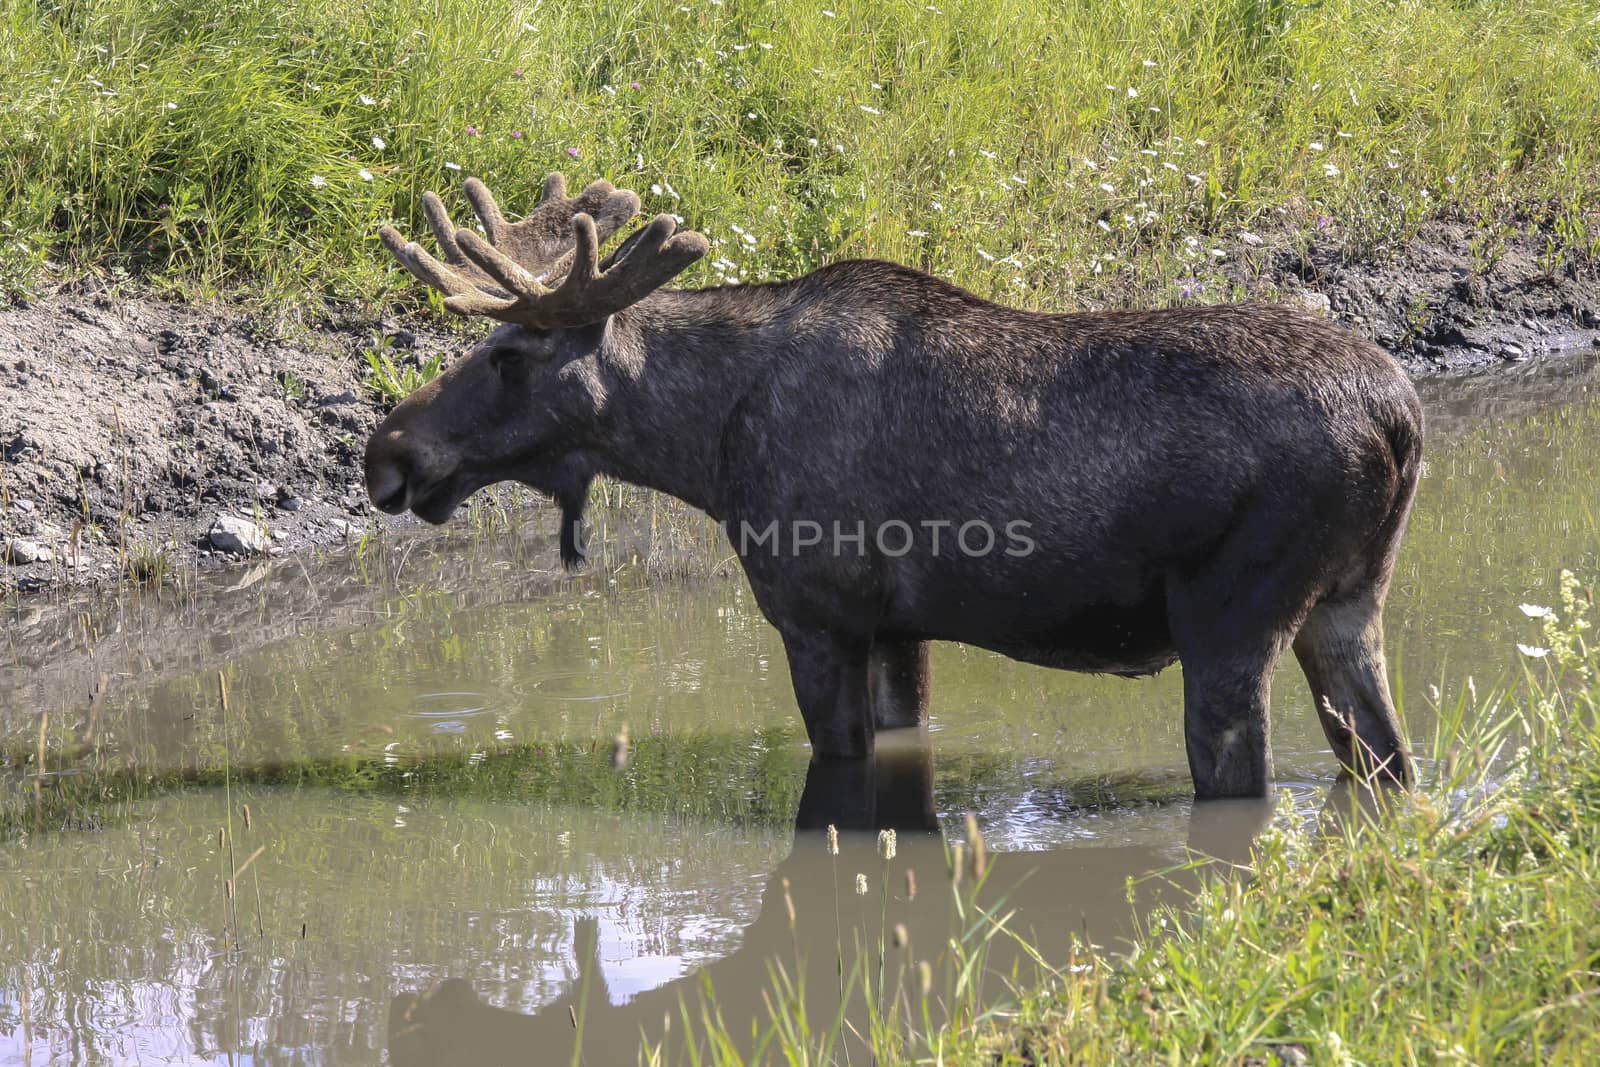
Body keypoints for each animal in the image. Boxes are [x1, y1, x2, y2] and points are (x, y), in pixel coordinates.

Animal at [366, 171, 1427, 796]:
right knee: (1389, 762)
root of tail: (1401, 418)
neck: (704, 447)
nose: (388, 452)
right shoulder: (899, 628)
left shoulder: (818, 614)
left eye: (507, 353)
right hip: (1349, 603)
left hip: (1230, 616)